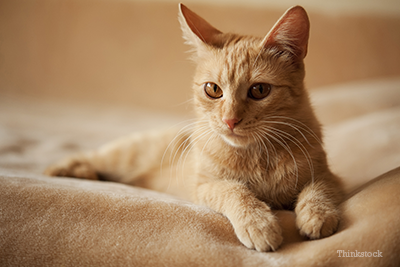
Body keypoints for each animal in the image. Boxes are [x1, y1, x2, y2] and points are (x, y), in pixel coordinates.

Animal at [44, 3, 344, 252]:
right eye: (213, 90)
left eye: (259, 90)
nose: (230, 120)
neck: (257, 156)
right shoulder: (204, 186)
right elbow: (235, 191)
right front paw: (259, 223)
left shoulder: (329, 177)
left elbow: (317, 190)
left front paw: (317, 215)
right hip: (126, 155)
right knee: (92, 156)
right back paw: (68, 169)